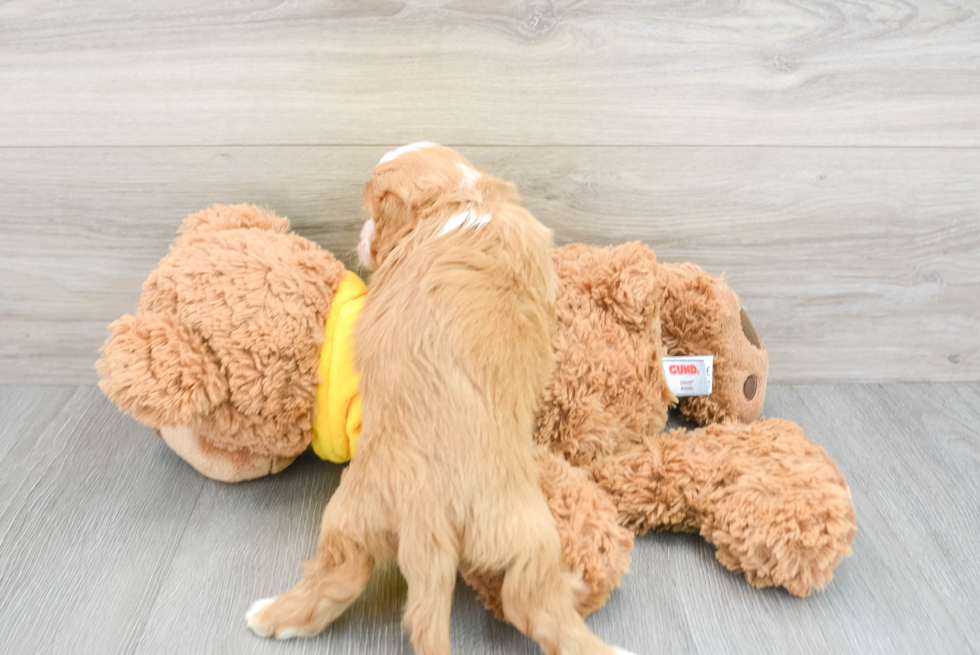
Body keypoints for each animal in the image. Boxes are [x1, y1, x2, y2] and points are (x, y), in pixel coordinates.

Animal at [247, 146, 636, 655]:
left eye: (374, 213)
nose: (362, 235)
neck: (464, 198)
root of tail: (435, 515)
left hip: (353, 511)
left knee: (338, 576)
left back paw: (268, 616)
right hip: (529, 536)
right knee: (536, 607)